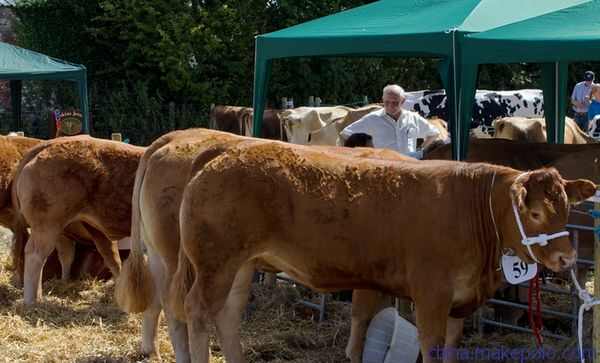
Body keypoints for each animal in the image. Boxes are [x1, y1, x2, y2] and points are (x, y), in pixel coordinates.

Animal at [12, 136, 145, 304]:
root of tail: (50, 143)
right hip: (47, 224)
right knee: (35, 255)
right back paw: (32, 301)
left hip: (61, 229)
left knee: (66, 255)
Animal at [176, 141, 592, 363]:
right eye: (535, 213)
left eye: (566, 210)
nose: (567, 259)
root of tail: (229, 148)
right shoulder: (431, 296)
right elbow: (432, 347)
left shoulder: (459, 301)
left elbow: (452, 347)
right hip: (215, 264)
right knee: (197, 310)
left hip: (242, 265)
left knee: (228, 313)